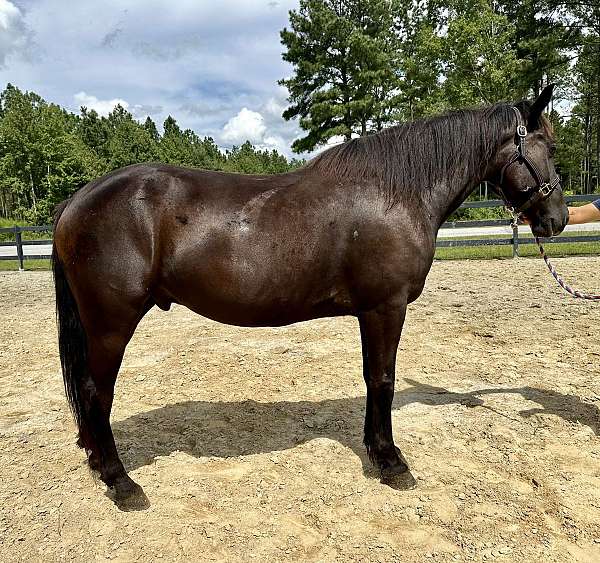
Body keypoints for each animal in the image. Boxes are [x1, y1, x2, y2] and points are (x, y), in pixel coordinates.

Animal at [51, 85, 568, 512]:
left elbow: (372, 378)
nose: (558, 218)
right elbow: (382, 379)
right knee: (96, 392)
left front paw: (376, 450)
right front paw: (391, 462)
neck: (396, 192)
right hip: (111, 323)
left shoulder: (372, 311)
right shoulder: (386, 307)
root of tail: (77, 200)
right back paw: (121, 482)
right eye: (548, 146)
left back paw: (98, 464)